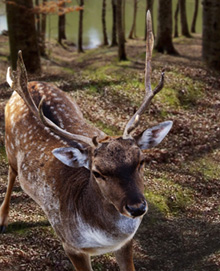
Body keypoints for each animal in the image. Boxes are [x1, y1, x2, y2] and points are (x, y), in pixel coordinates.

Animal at [0, 11, 172, 271]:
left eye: (141, 161)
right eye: (97, 172)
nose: (137, 208)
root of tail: (31, 82)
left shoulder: (126, 243)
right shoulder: (73, 248)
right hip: (9, 147)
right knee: (11, 174)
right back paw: (3, 220)